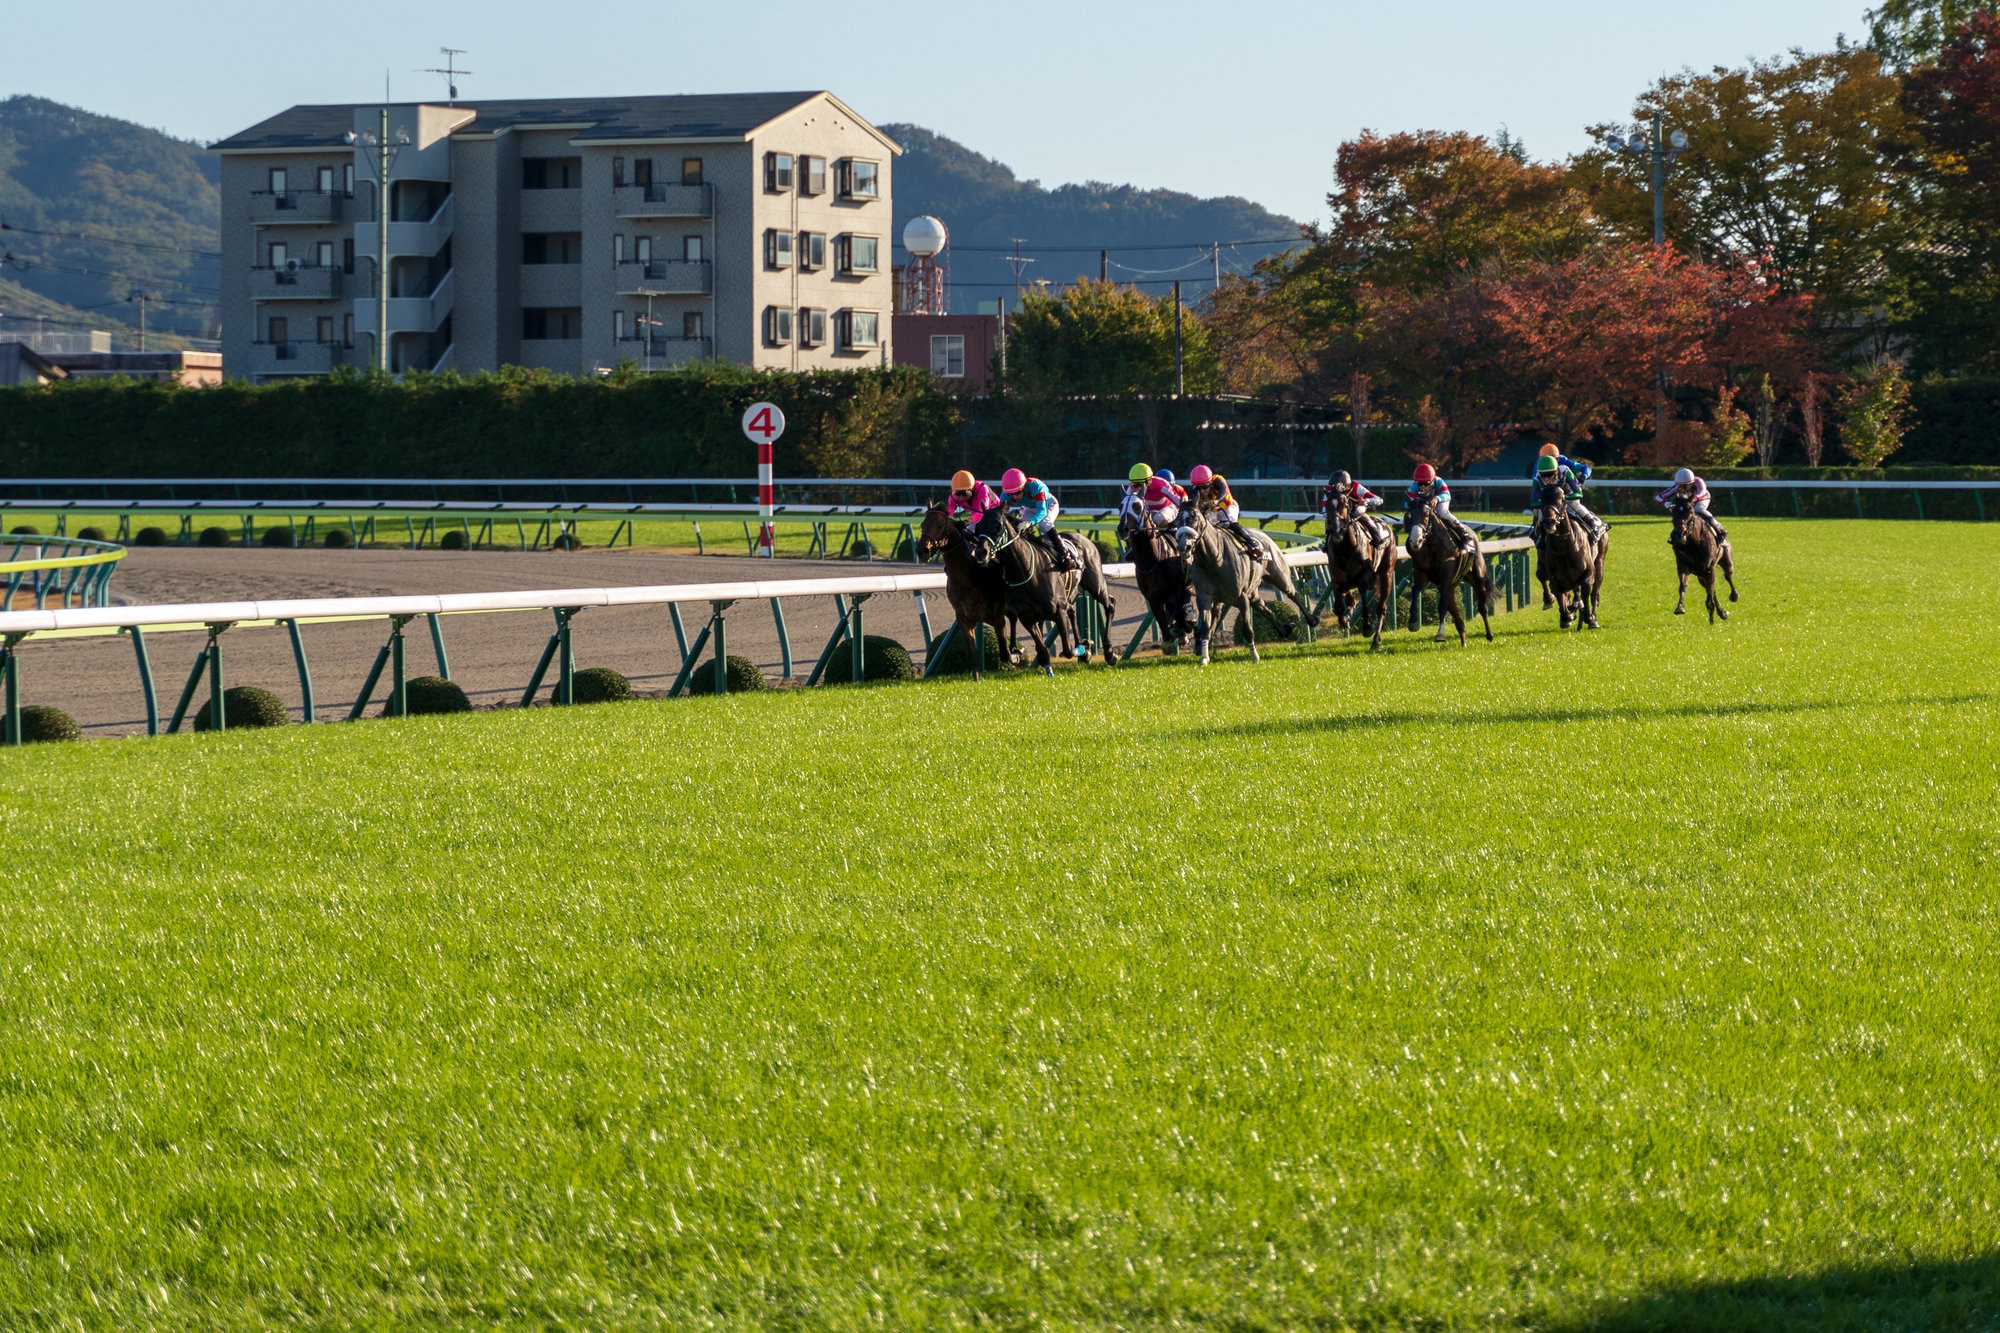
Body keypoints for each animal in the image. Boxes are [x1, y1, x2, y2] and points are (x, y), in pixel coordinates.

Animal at [920, 506, 1016, 680]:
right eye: (922, 525)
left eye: (939, 526)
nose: (921, 551)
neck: (969, 577)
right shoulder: (964, 618)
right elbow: (973, 654)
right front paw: (976, 680)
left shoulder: (997, 617)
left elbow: (1005, 653)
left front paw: (1016, 655)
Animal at [1328, 492, 1392, 648]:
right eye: (1327, 506)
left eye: (1345, 505)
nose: (1337, 533)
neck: (1344, 549)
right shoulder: (1337, 578)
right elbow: (1339, 603)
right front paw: (1344, 619)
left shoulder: (1365, 574)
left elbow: (1362, 593)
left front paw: (1367, 627)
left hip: (1386, 574)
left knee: (1381, 608)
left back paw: (1376, 640)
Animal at [1400, 496, 1496, 644]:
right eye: (1407, 517)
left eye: (1426, 515)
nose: (1415, 542)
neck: (1431, 546)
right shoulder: (1421, 572)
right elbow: (1415, 592)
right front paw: (1413, 622)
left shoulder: (1446, 575)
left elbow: (1441, 606)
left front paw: (1440, 634)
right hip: (1452, 587)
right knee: (1457, 616)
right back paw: (1463, 641)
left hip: (1477, 577)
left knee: (1482, 607)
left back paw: (1489, 635)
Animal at [1528, 490, 1608, 632]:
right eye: (1541, 498)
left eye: (1561, 497)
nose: (1549, 522)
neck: (1563, 547)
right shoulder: (1554, 577)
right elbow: (1554, 589)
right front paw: (1566, 615)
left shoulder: (1589, 572)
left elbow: (1586, 589)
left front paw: (1588, 617)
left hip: (1600, 562)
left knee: (1594, 594)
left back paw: (1593, 620)